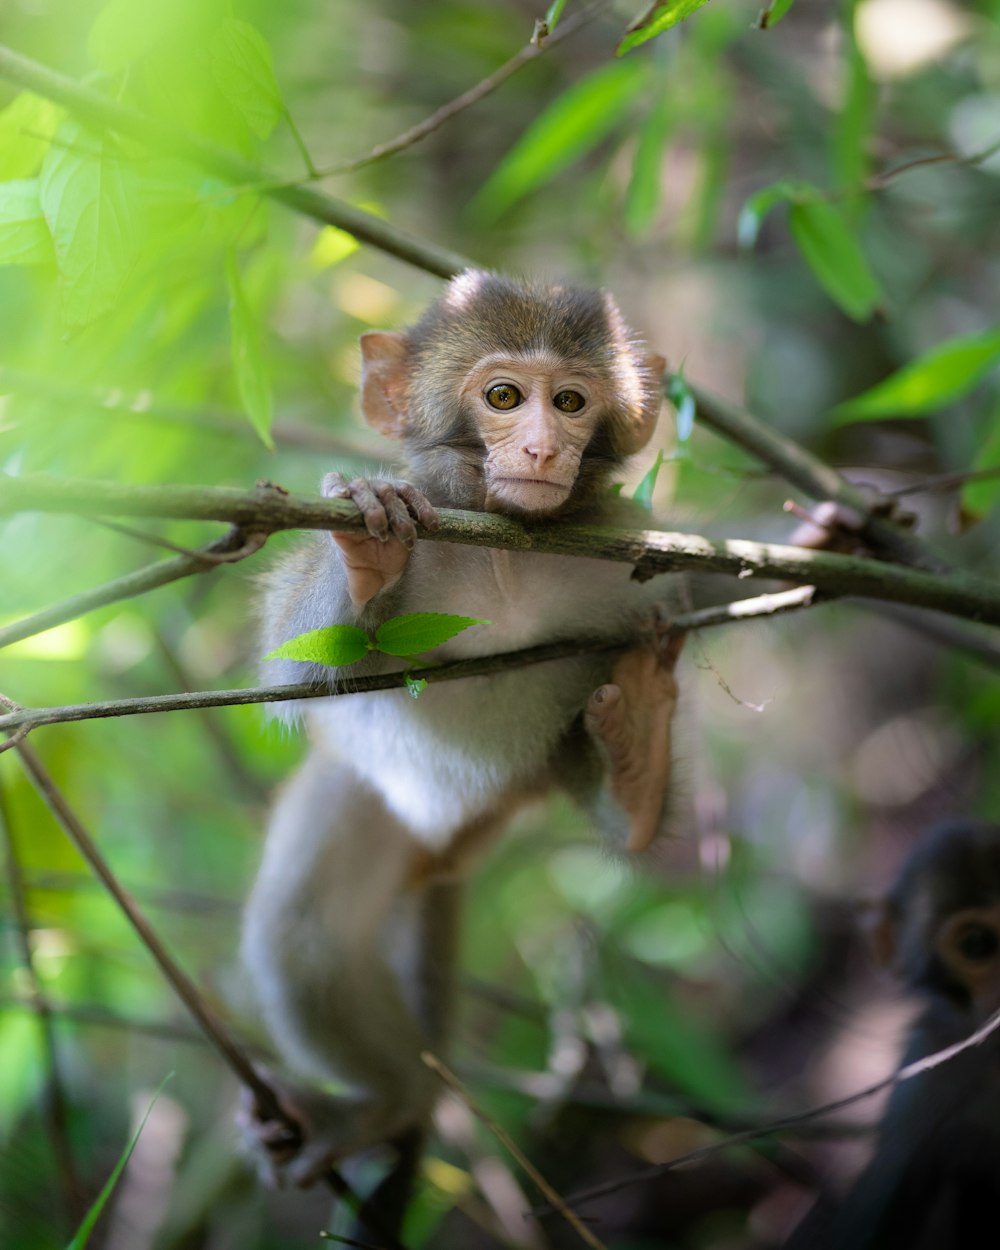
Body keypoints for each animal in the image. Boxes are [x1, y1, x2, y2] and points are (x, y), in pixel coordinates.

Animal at [240, 273, 690, 1220]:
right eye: (504, 398)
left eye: (570, 402)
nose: (542, 447)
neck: (507, 549)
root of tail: (445, 852)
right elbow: (293, 665)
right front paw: (369, 545)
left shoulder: (640, 559)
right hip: (369, 798)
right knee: (305, 936)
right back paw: (385, 1105)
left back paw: (636, 769)